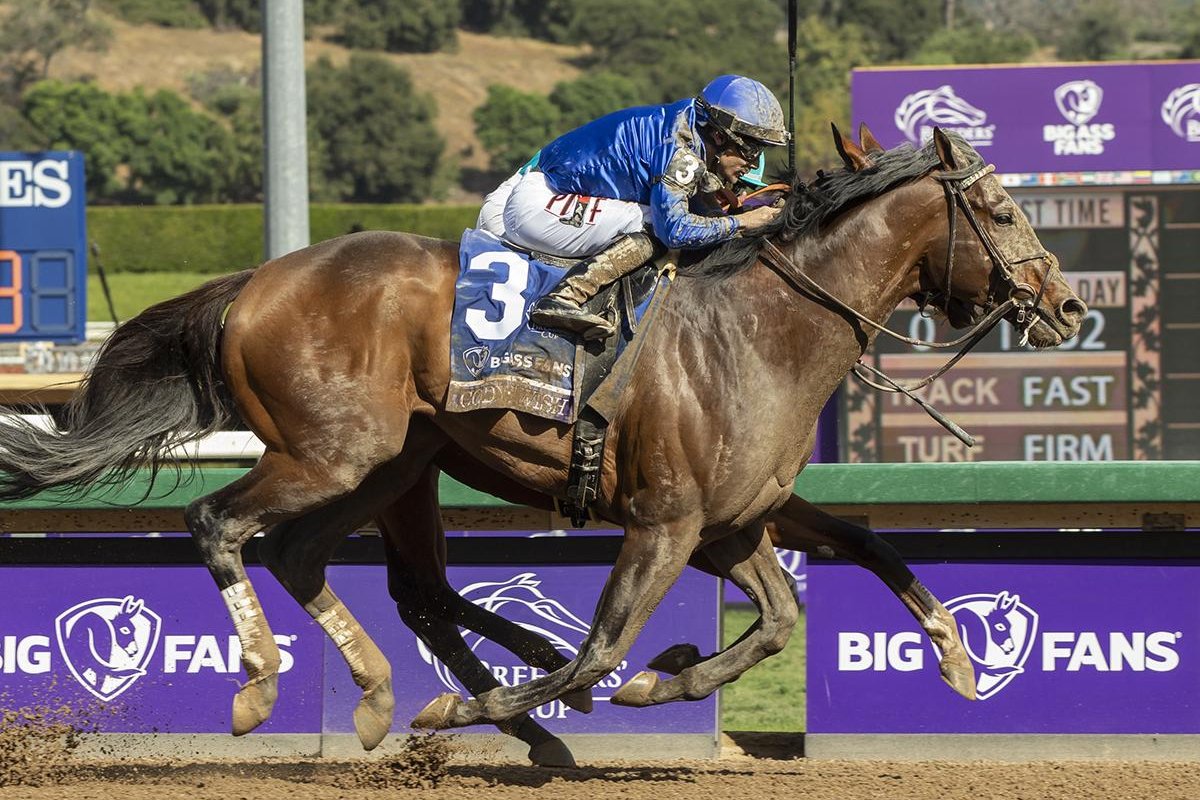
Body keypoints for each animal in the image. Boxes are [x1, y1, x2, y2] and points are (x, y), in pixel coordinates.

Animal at [0, 128, 1089, 762]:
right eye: (1000, 208)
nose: (1068, 304)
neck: (759, 329)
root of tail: (256, 282)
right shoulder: (667, 520)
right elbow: (603, 647)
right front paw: (524, 698)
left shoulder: (736, 520)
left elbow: (823, 581)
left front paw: (952, 653)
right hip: (333, 453)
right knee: (219, 523)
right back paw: (275, 684)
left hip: (391, 465)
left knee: (340, 566)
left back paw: (389, 692)